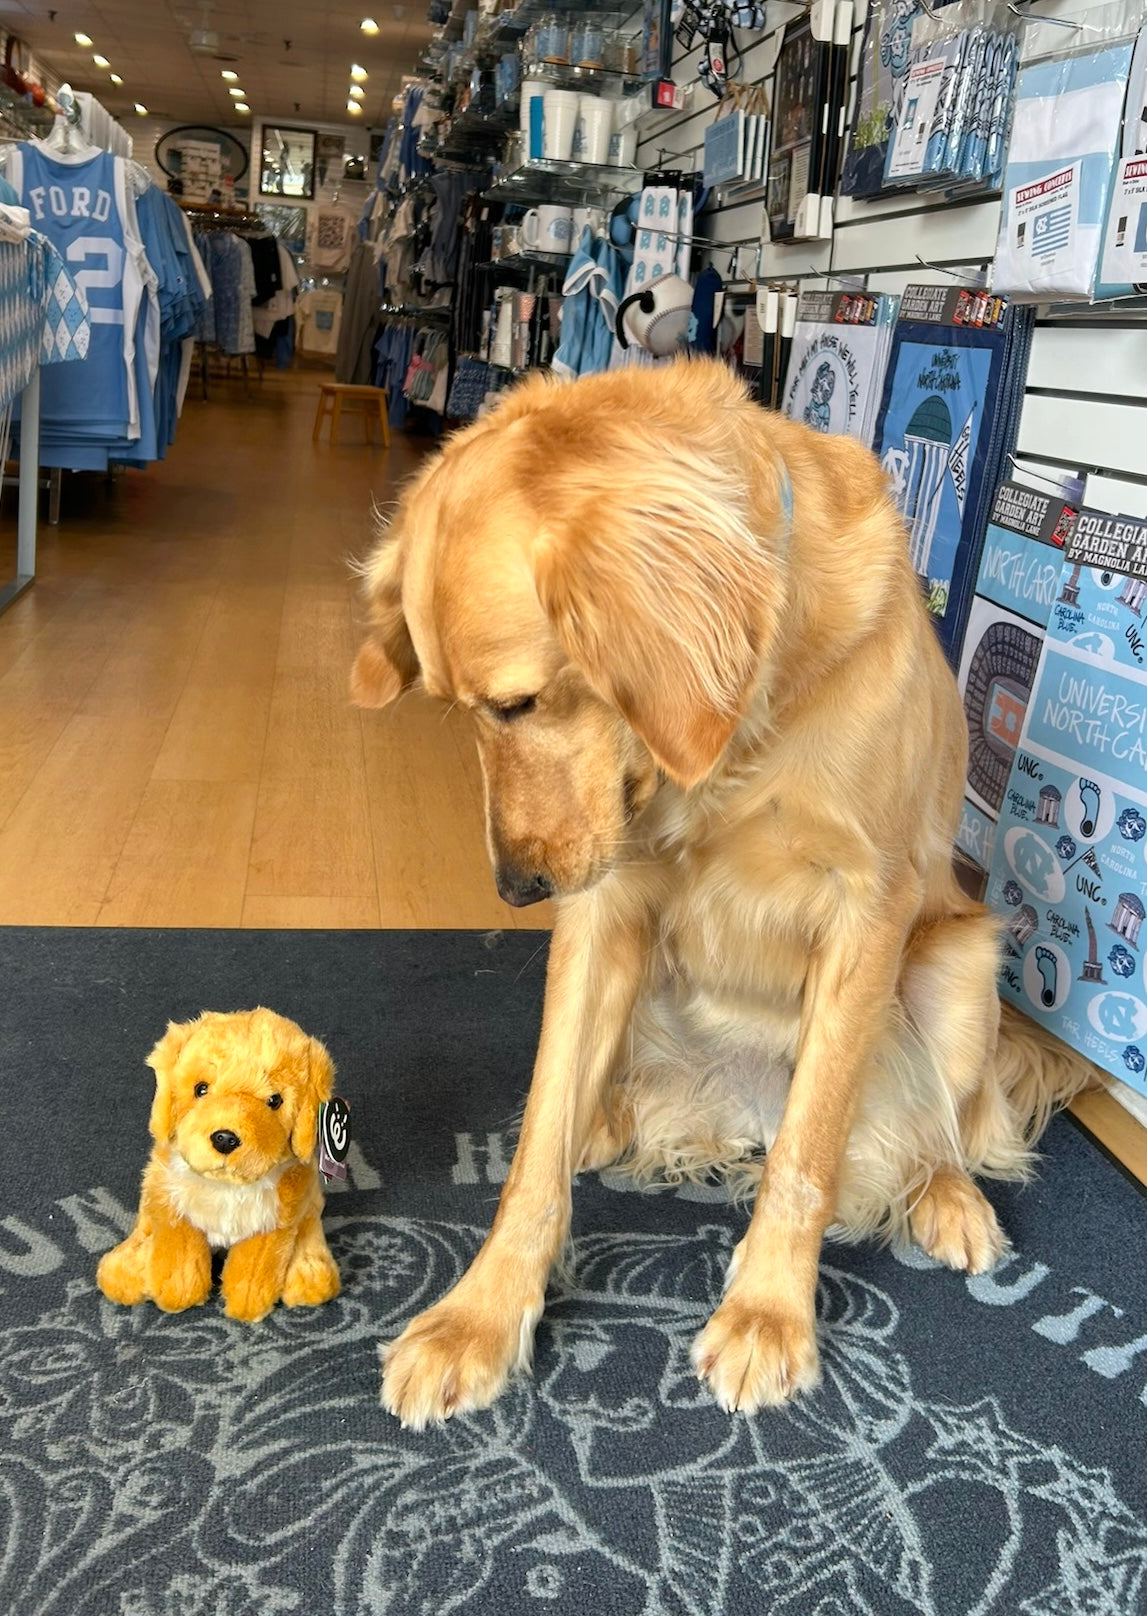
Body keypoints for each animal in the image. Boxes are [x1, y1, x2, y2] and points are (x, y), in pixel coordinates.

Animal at [97, 1014, 340, 1318]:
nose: (225, 1138)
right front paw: (179, 1294)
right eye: (201, 1089)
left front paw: (248, 1305)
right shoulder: (173, 1208)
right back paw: (127, 1266)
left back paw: (309, 1272)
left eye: (275, 1101)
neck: (226, 1188)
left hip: (308, 1210)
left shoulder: (274, 1224)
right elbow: (180, 1255)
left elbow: (254, 1269)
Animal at [352, 357, 1098, 1428]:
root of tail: (734, 1107)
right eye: (463, 713)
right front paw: (480, 1316)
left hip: (960, 962)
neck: (736, 733)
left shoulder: (867, 910)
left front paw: (768, 1313)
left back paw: (948, 1199)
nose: (516, 888)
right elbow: (535, 1144)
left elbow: (809, 1152)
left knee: (940, 1130)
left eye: (517, 703)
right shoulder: (602, 910)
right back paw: (605, 1123)